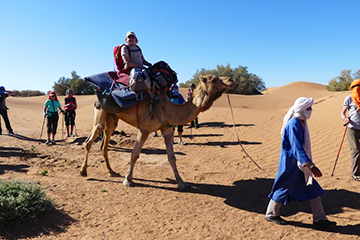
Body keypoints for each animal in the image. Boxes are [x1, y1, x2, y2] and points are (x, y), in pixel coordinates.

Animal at [80, 75, 235, 189]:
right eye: (214, 79)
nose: (231, 80)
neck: (167, 108)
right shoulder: (144, 129)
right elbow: (134, 154)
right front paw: (128, 180)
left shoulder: (167, 130)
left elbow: (172, 157)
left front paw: (182, 183)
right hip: (101, 112)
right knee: (89, 140)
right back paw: (83, 171)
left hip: (112, 119)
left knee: (104, 145)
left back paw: (111, 171)